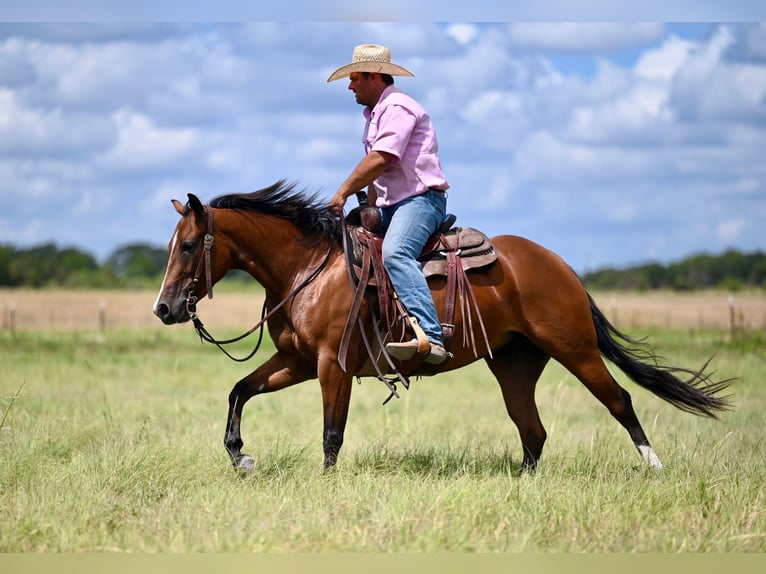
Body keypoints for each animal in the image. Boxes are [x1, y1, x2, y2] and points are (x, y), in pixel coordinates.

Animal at [152, 181, 732, 476]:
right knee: (533, 430)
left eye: (189, 245)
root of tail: (559, 264)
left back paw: (654, 466)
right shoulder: (296, 362)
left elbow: (332, 434)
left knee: (620, 402)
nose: (163, 308)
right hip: (514, 365)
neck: (306, 268)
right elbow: (238, 390)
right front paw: (241, 456)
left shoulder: (331, 366)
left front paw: (325, 484)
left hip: (577, 349)